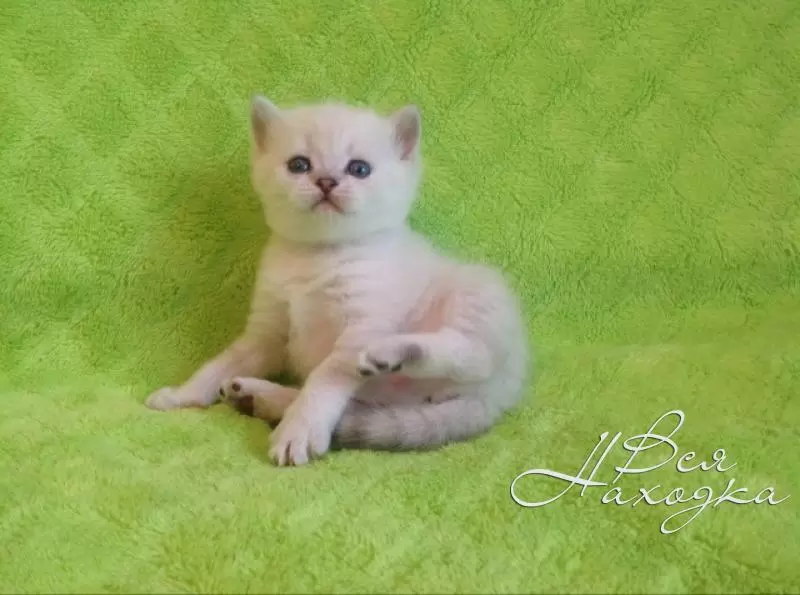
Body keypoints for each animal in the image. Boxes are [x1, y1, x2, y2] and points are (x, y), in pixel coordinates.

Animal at [145, 96, 531, 466]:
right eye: (299, 165)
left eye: (359, 169)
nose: (327, 181)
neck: (318, 256)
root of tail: (502, 395)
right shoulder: (267, 333)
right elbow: (219, 365)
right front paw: (181, 396)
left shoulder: (359, 328)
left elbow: (324, 378)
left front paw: (299, 432)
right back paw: (260, 398)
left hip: (478, 292)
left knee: (472, 353)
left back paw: (389, 353)